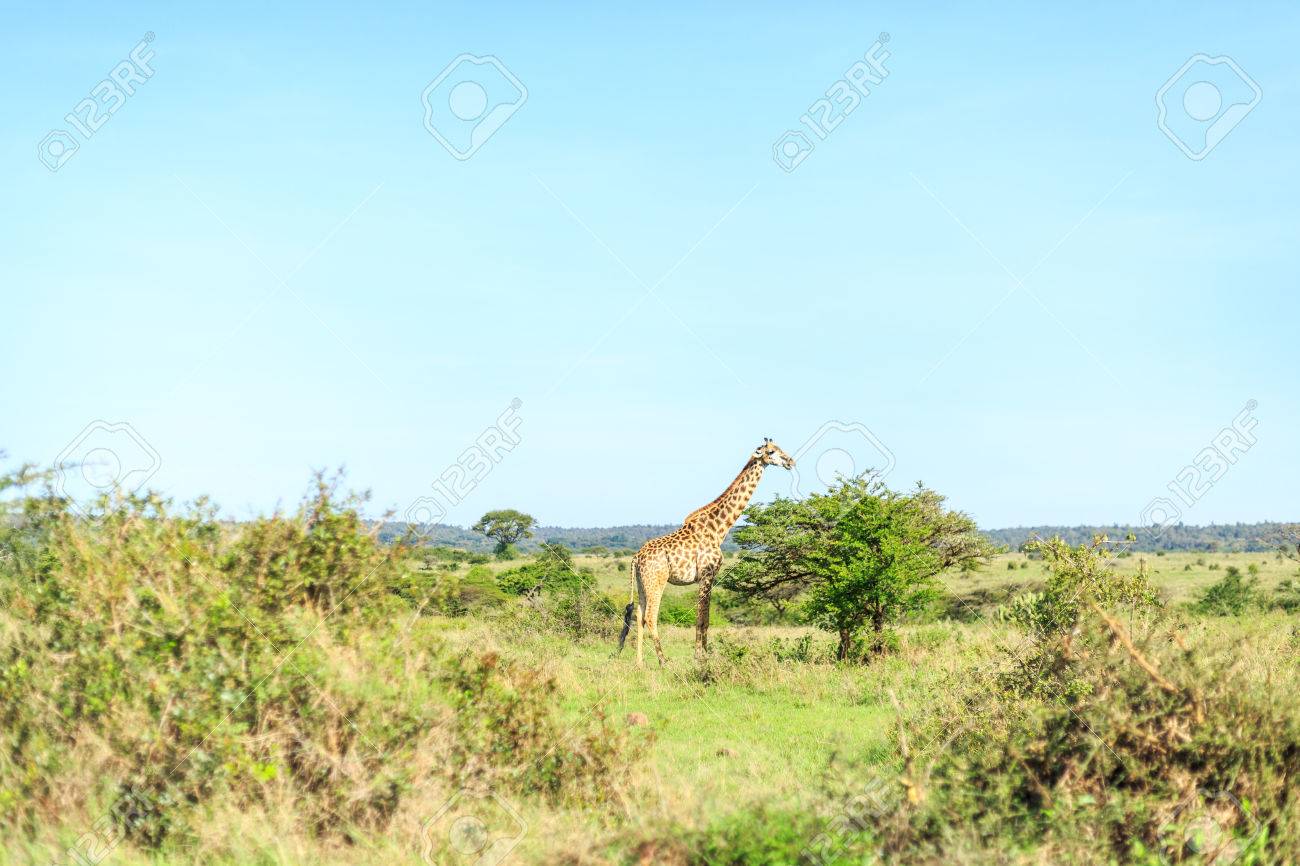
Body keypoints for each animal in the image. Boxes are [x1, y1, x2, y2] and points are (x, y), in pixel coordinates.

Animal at [616, 439, 790, 665]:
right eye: (771, 452)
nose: (790, 461)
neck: (719, 529)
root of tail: (636, 557)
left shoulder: (708, 576)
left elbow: (703, 618)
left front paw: (702, 655)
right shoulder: (708, 574)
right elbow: (702, 619)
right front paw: (701, 658)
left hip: (642, 581)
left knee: (639, 615)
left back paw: (640, 662)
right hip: (657, 580)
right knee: (650, 617)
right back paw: (663, 661)